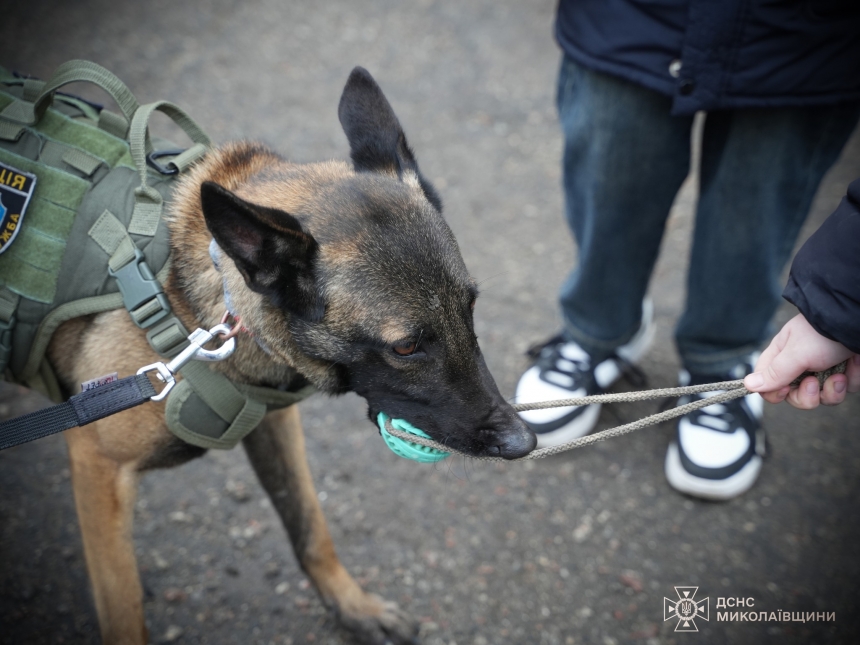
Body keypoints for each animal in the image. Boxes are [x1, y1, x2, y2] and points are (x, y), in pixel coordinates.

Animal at [42, 68, 536, 640]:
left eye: (470, 308)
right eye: (406, 346)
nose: (524, 441)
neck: (207, 300)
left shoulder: (273, 426)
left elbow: (310, 526)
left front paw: (352, 606)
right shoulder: (98, 467)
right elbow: (124, 614)